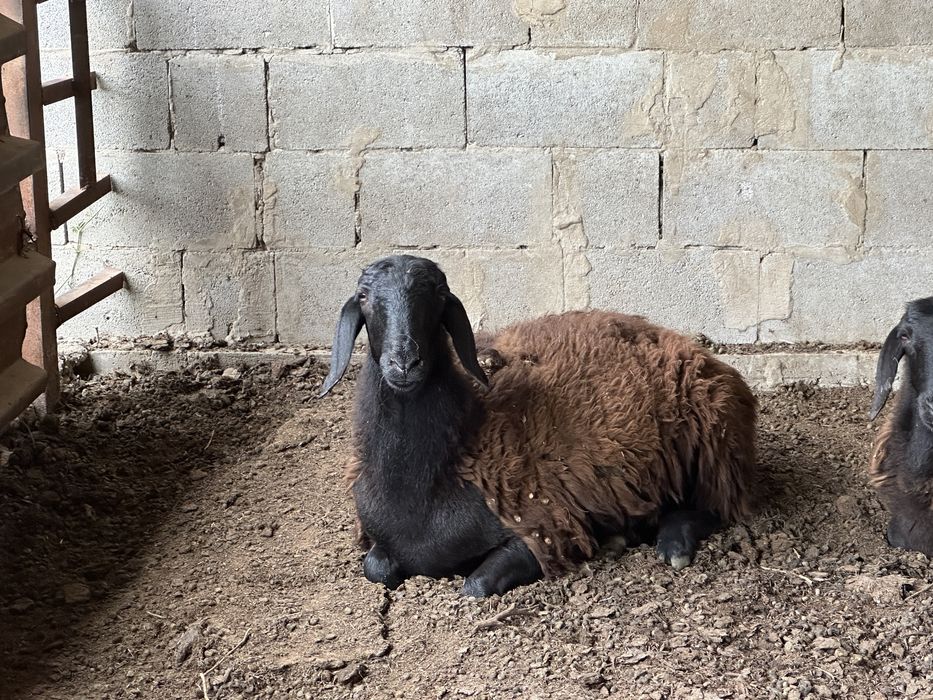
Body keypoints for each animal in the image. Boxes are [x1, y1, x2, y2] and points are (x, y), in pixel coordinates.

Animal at [318, 254, 759, 597]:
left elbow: (475, 586)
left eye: (440, 296)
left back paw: (671, 543)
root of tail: (683, 342)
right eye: (364, 297)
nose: (405, 363)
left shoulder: (542, 529)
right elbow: (376, 569)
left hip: (716, 441)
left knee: (720, 506)